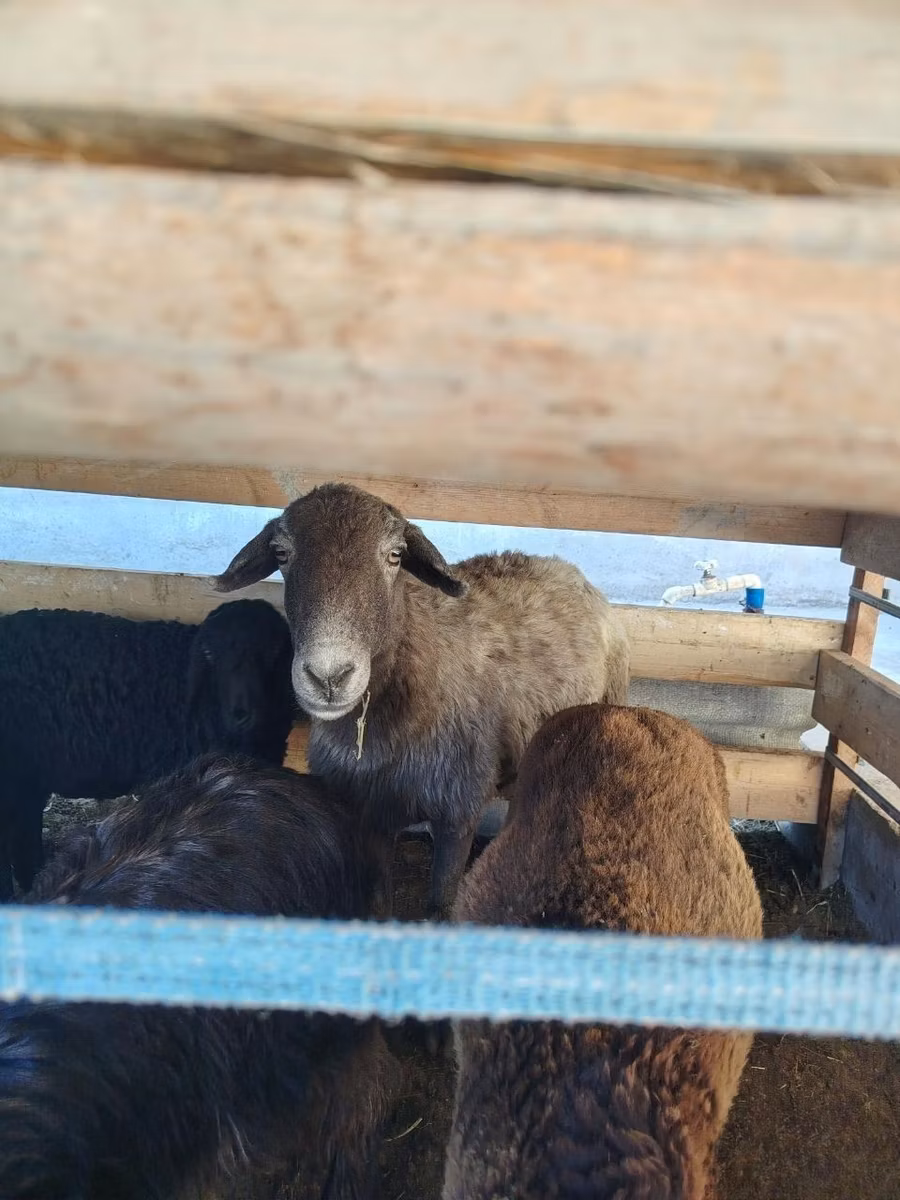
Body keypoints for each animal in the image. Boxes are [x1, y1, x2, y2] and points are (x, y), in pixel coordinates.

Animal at [213, 482, 630, 919]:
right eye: (281, 553)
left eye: (395, 555)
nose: (329, 677)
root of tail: (564, 566)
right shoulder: (367, 812)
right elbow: (378, 903)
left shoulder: (458, 811)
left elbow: (440, 904)